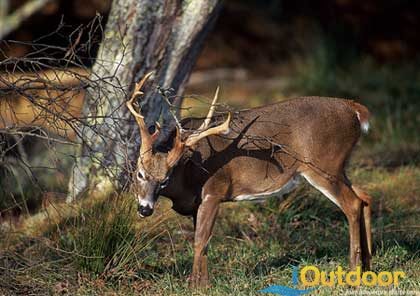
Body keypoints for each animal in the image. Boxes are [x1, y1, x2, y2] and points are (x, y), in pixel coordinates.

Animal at [126, 73, 372, 288]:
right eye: (140, 173)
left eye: (165, 179)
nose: (145, 209)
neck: (188, 171)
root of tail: (354, 109)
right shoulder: (197, 202)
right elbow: (202, 242)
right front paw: (203, 283)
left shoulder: (214, 191)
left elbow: (200, 240)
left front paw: (196, 286)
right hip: (339, 167)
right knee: (364, 196)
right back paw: (368, 266)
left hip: (323, 165)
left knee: (352, 204)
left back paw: (353, 270)